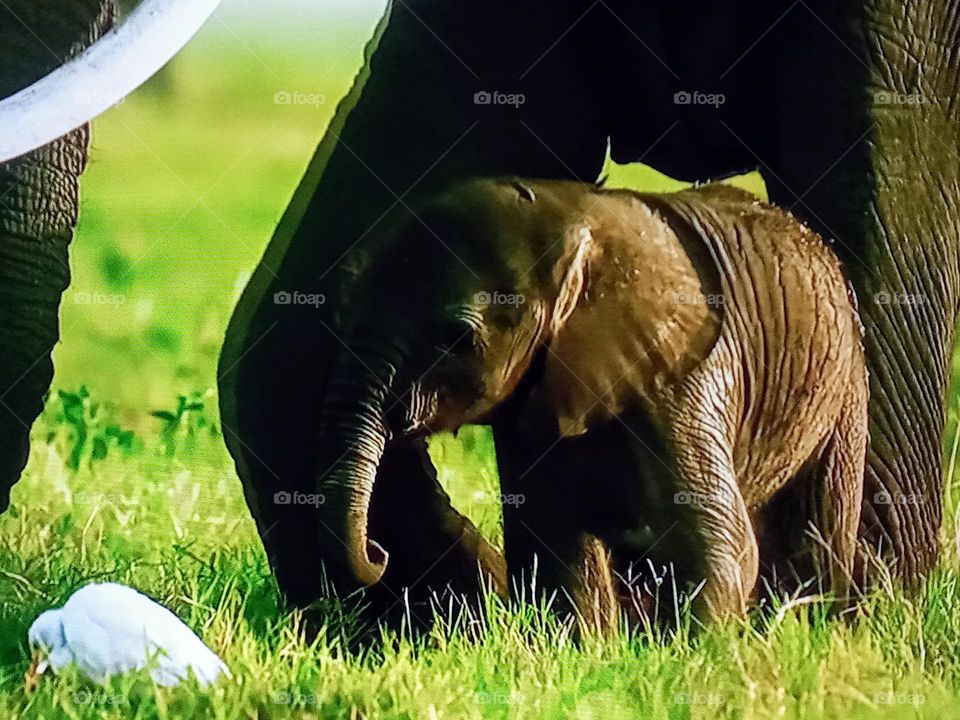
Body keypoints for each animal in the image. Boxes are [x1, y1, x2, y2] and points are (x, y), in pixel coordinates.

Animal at [309, 177, 868, 626]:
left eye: (458, 339)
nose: (378, 553)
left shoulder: (682, 377)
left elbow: (715, 543)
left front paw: (698, 661)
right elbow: (555, 547)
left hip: (845, 382)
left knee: (816, 530)